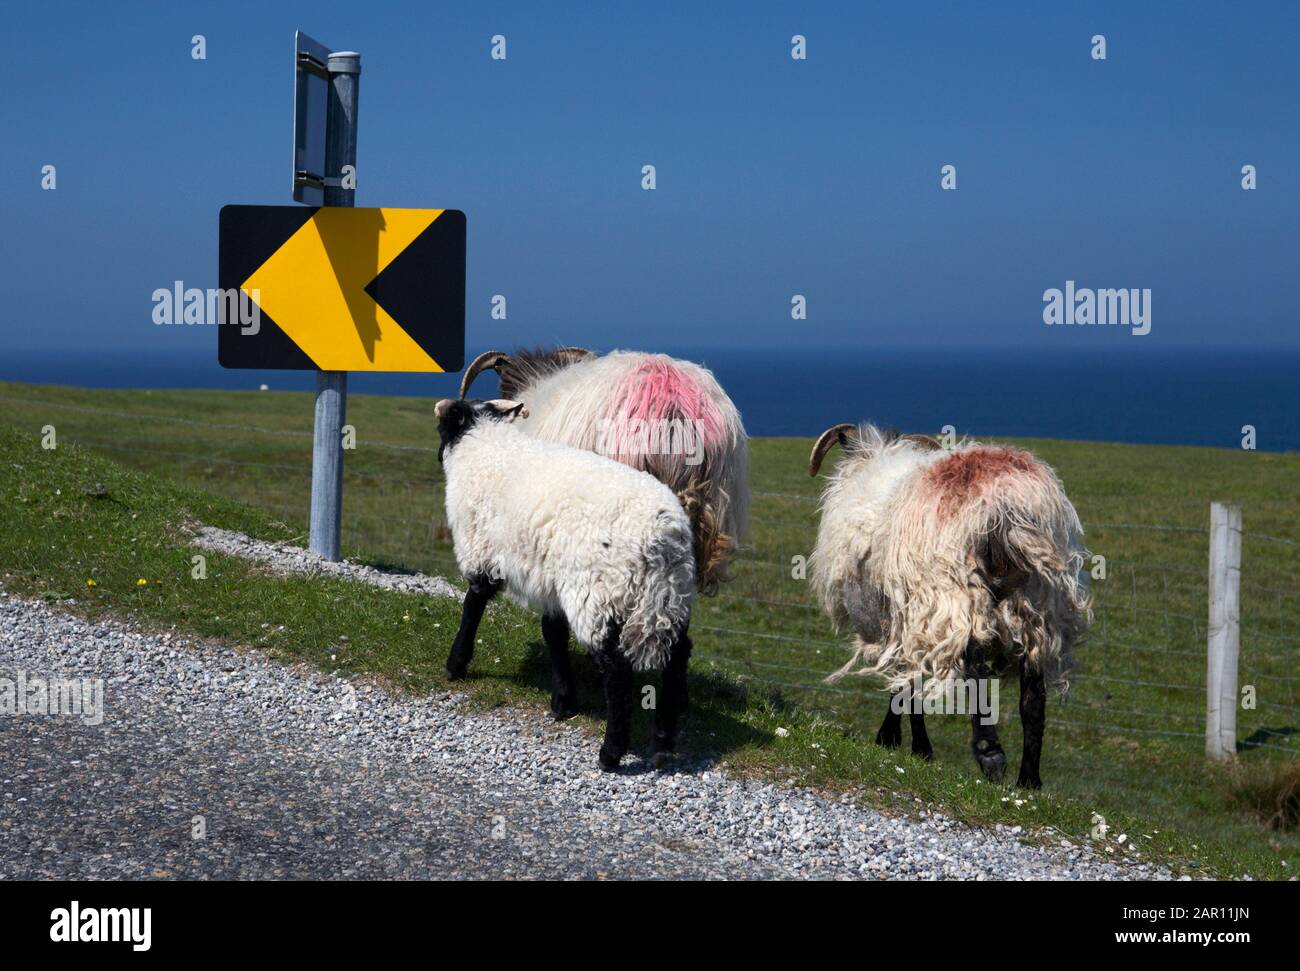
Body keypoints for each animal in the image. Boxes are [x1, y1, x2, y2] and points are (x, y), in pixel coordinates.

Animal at [434, 397, 702, 769]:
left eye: (443, 427)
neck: (485, 445)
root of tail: (664, 533)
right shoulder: (550, 580)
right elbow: (553, 633)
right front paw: (563, 701)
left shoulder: (482, 552)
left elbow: (473, 605)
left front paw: (456, 664)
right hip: (668, 596)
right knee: (677, 655)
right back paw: (662, 741)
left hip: (599, 594)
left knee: (617, 670)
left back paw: (611, 753)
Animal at [806, 426, 1092, 790]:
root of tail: (1007, 508)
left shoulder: (900, 619)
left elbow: (905, 683)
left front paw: (903, 743)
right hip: (1039, 602)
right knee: (1033, 694)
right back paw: (1029, 780)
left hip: (953, 592)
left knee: (974, 668)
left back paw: (990, 754)